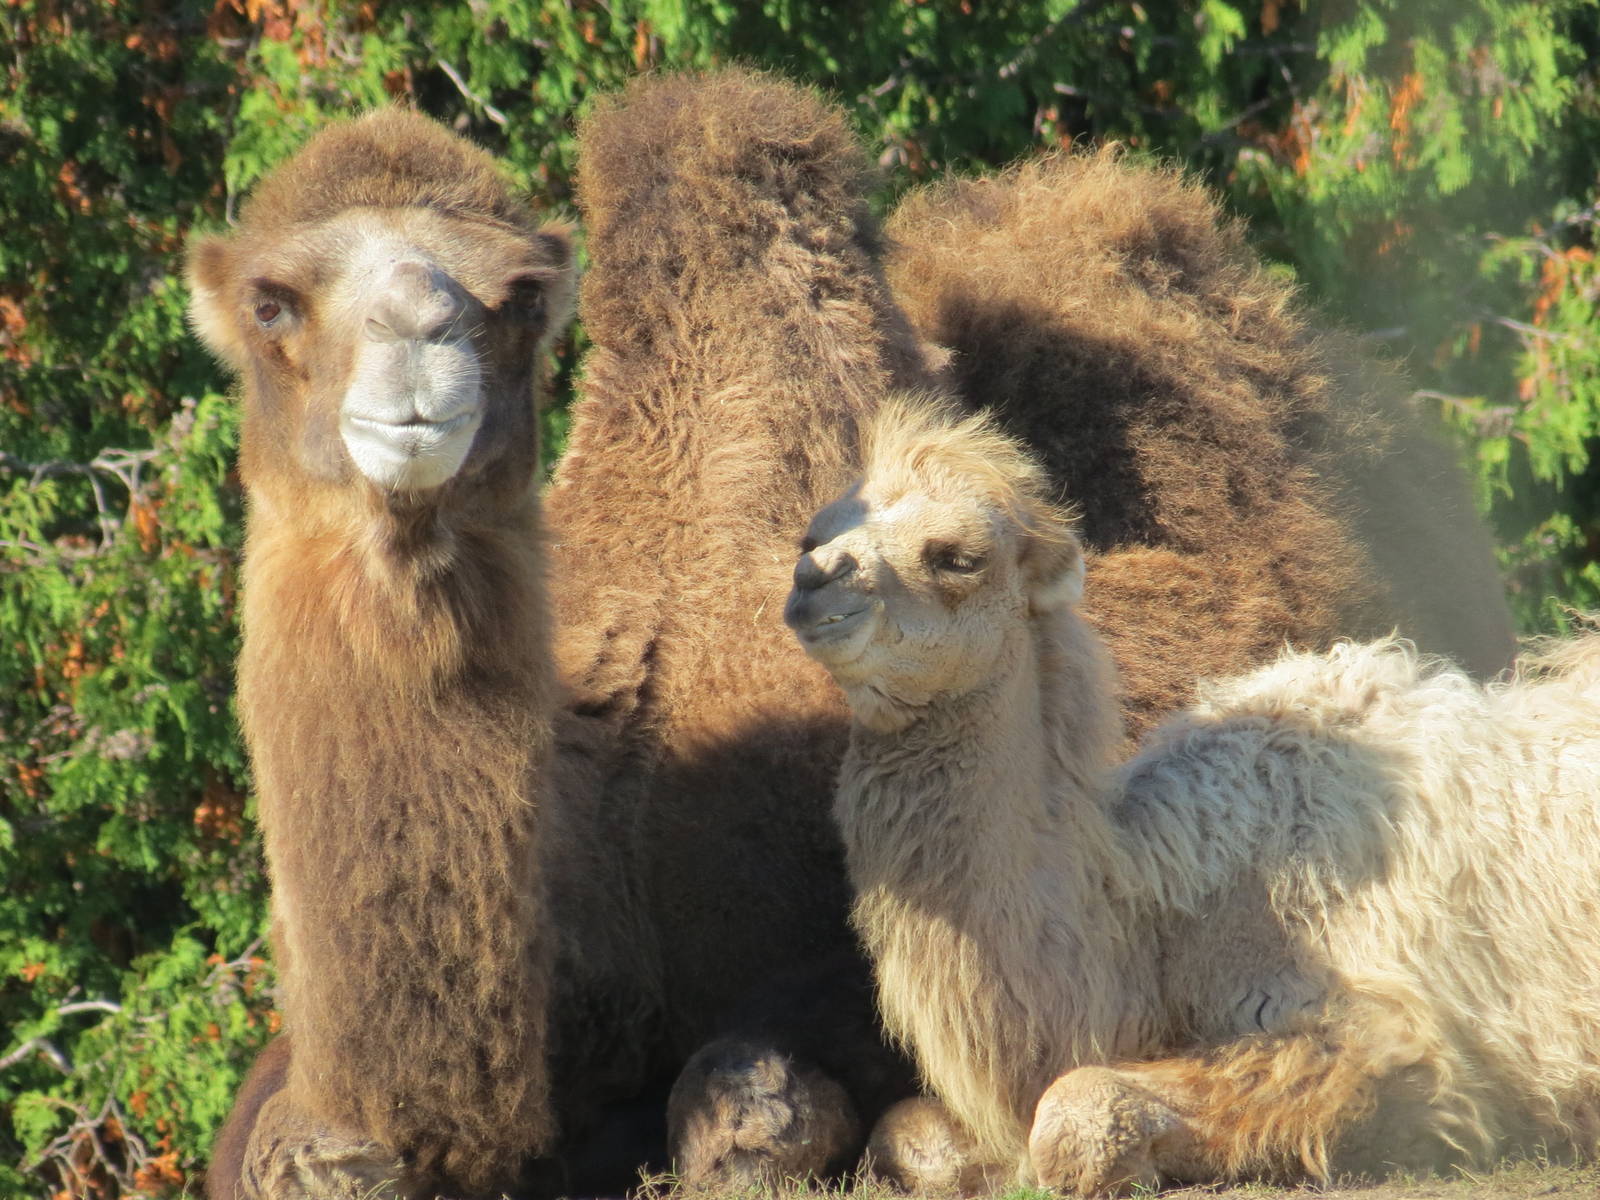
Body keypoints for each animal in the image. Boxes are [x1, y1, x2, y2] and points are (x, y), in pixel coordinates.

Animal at [786, 396, 1600, 1194]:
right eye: (815, 532)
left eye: (958, 557)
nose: (812, 580)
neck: (1149, 918)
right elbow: (907, 1133)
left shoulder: (1395, 1040)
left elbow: (1075, 1111)